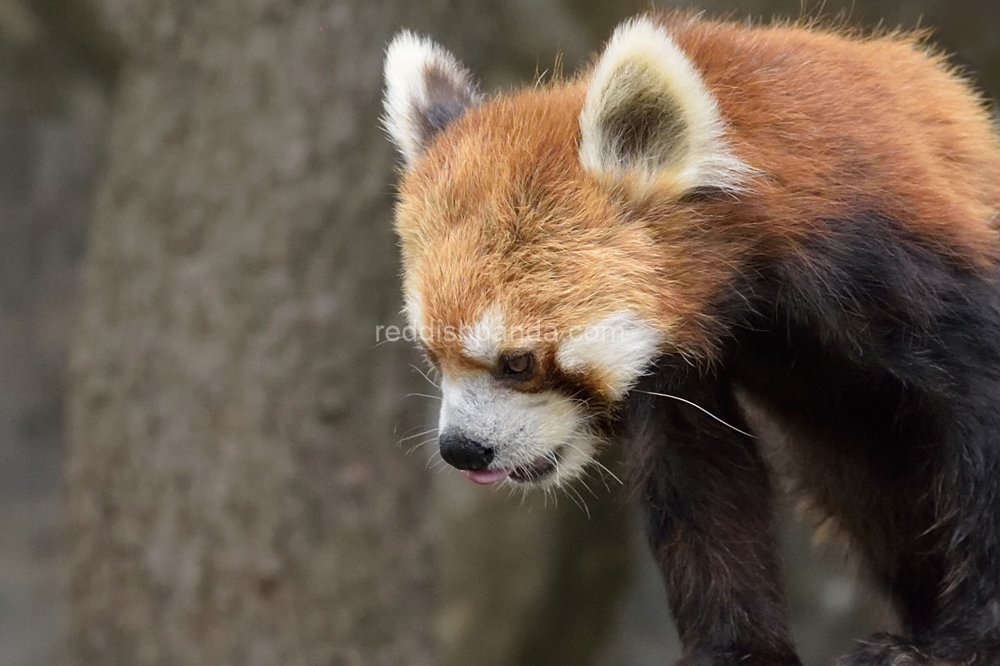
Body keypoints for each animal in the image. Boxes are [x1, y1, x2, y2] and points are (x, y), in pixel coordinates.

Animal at [380, 11, 1000, 664]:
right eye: (432, 355)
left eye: (518, 362)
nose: (462, 449)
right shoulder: (675, 368)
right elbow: (699, 478)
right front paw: (735, 647)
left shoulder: (886, 257)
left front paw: (958, 643)